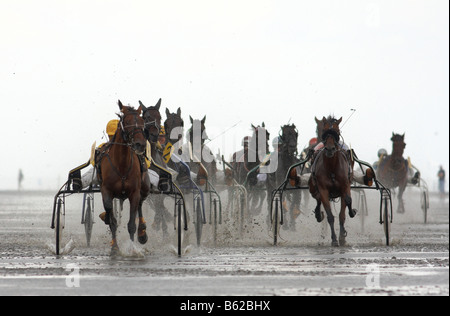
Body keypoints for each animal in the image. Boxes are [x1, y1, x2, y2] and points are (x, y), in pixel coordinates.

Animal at [96, 101, 150, 254]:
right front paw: (114, 247)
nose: (140, 144)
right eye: (127, 122)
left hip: (145, 187)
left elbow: (131, 223)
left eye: (142, 121)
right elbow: (112, 218)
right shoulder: (106, 191)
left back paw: (142, 232)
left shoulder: (134, 192)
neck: (122, 165)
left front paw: (132, 249)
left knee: (140, 203)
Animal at [308, 116, 356, 247]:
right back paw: (318, 214)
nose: (330, 149)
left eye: (337, 131)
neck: (332, 167)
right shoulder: (323, 189)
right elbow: (330, 215)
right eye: (325, 131)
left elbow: (345, 208)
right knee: (317, 198)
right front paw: (334, 239)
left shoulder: (345, 186)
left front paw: (342, 236)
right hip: (313, 186)